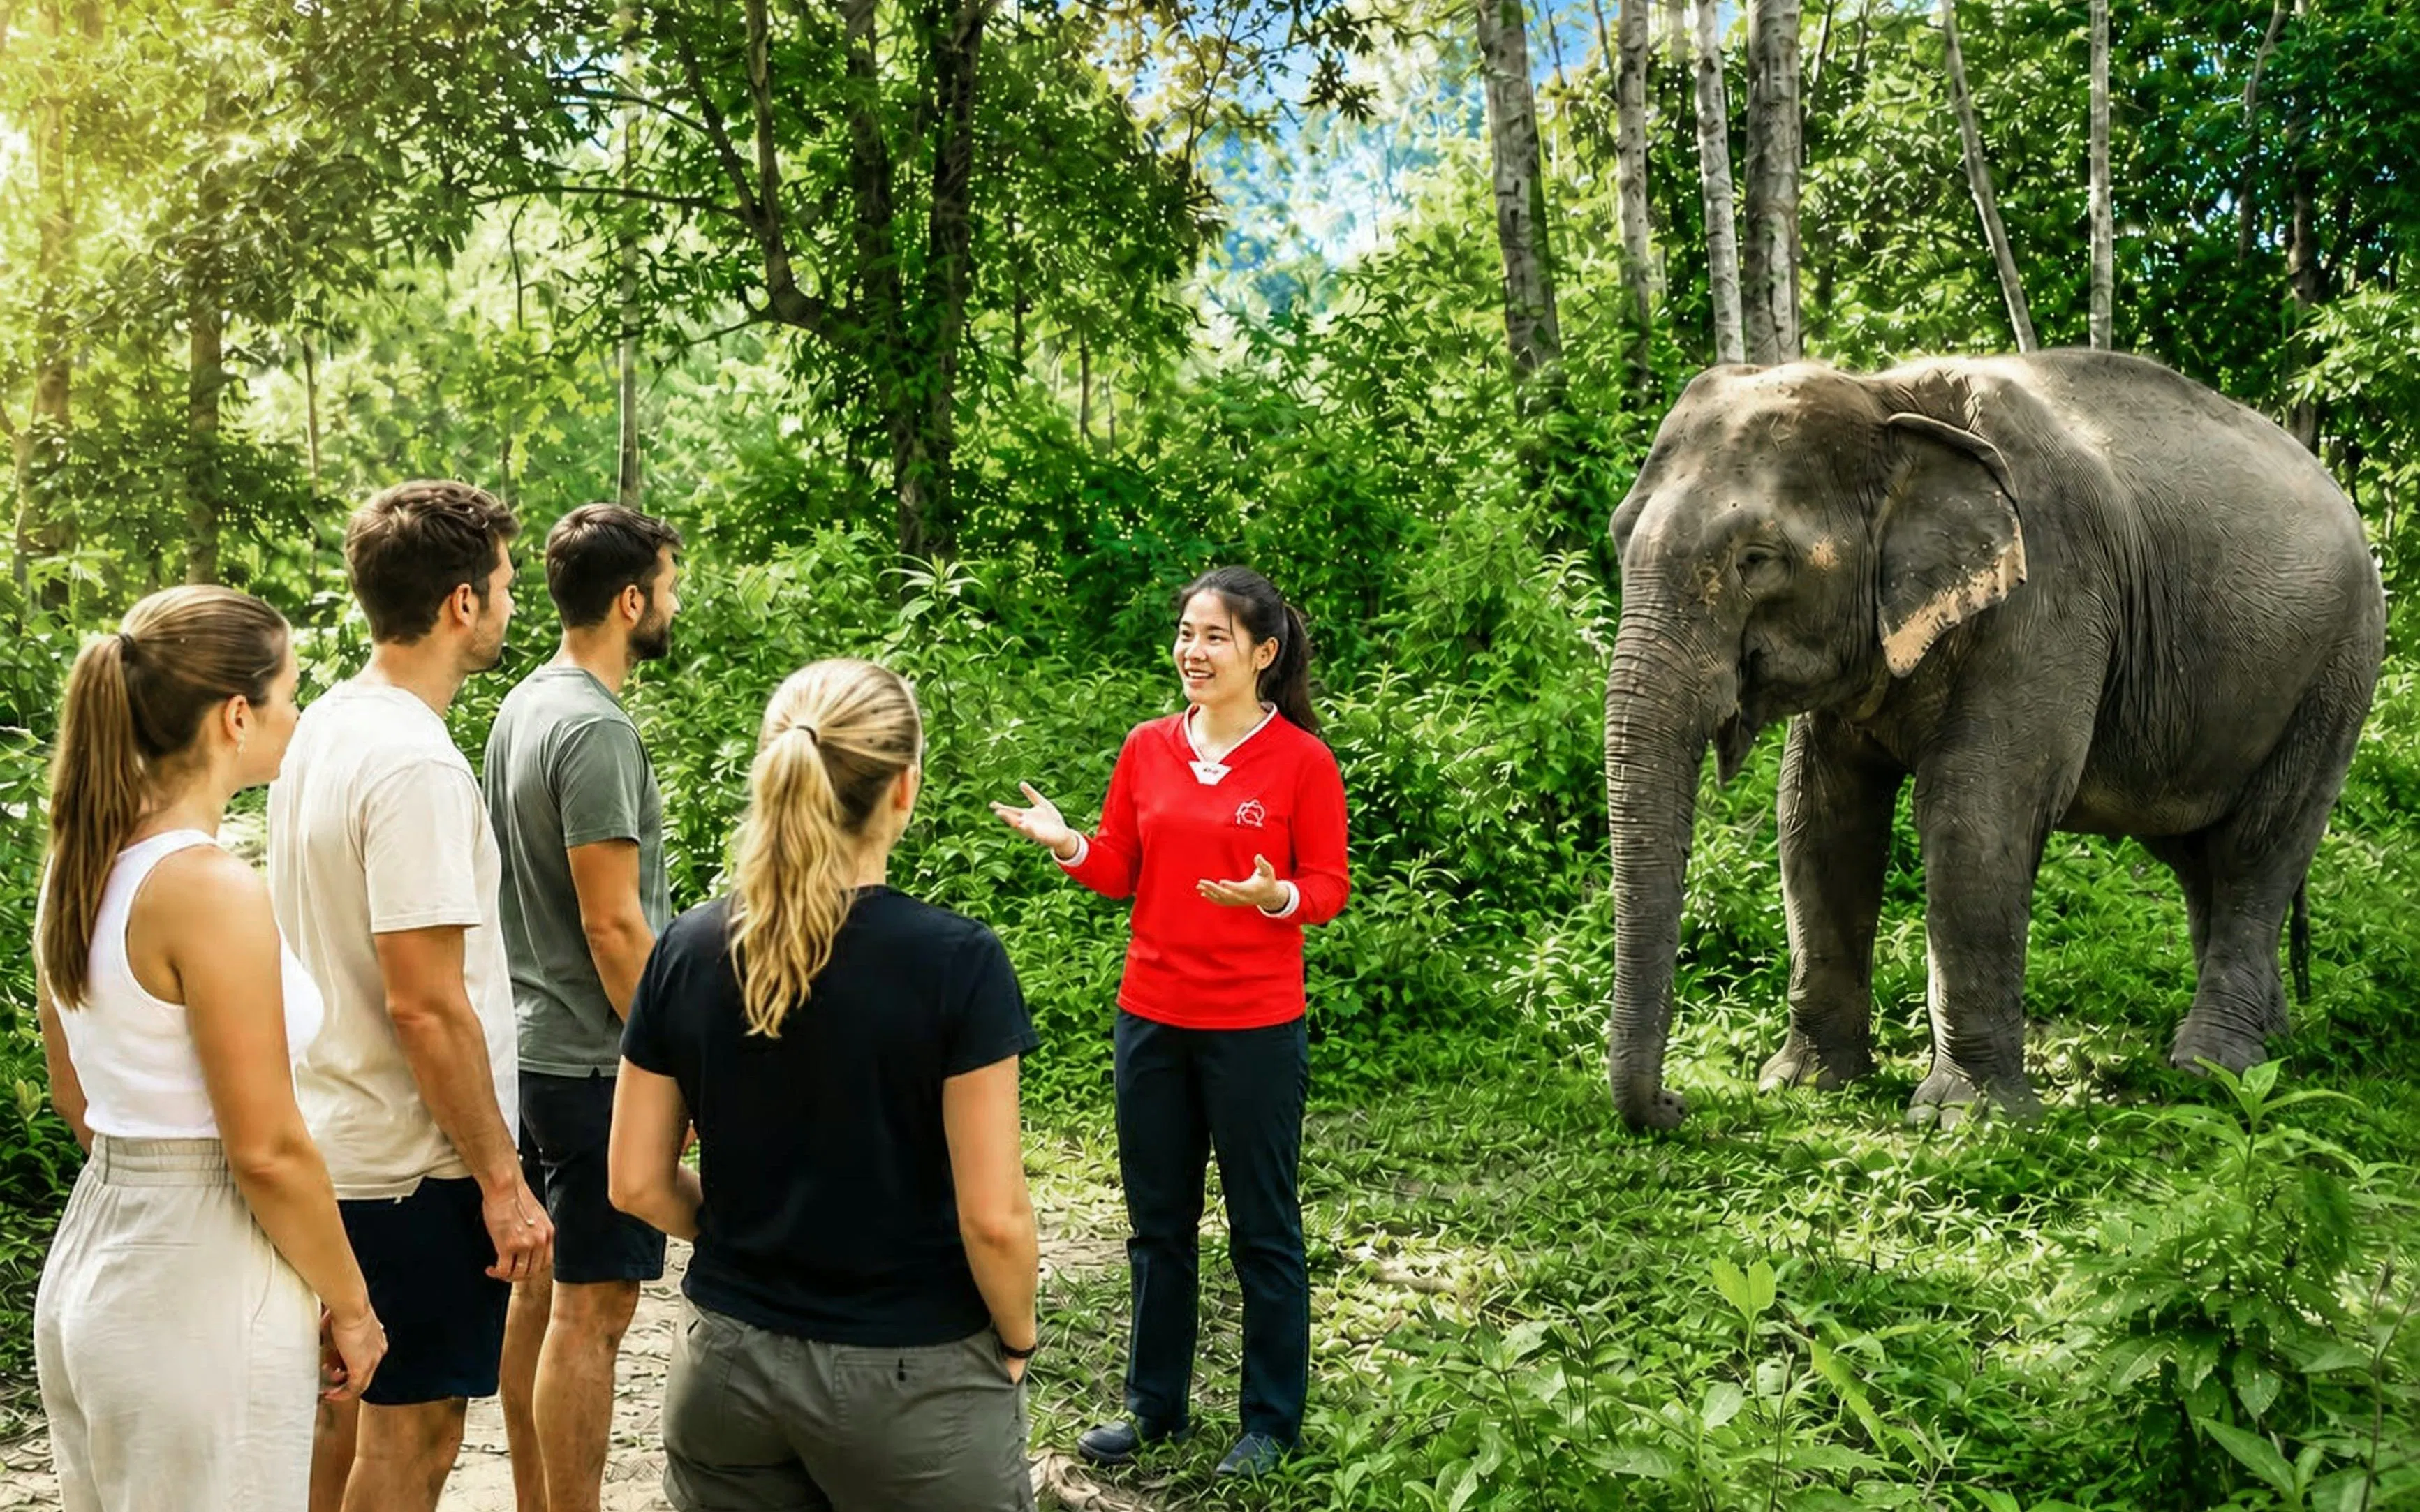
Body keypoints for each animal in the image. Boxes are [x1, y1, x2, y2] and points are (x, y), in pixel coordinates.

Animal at [1602, 348, 2385, 1131]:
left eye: (1757, 559)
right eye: (1618, 536)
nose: (1676, 1103)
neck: (1886, 396)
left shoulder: (2051, 595)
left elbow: (1974, 816)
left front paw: (1968, 1120)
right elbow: (1818, 818)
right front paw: (1804, 1086)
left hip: (2338, 669)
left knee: (2260, 846)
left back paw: (2214, 1070)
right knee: (2199, 858)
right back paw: (2267, 1044)